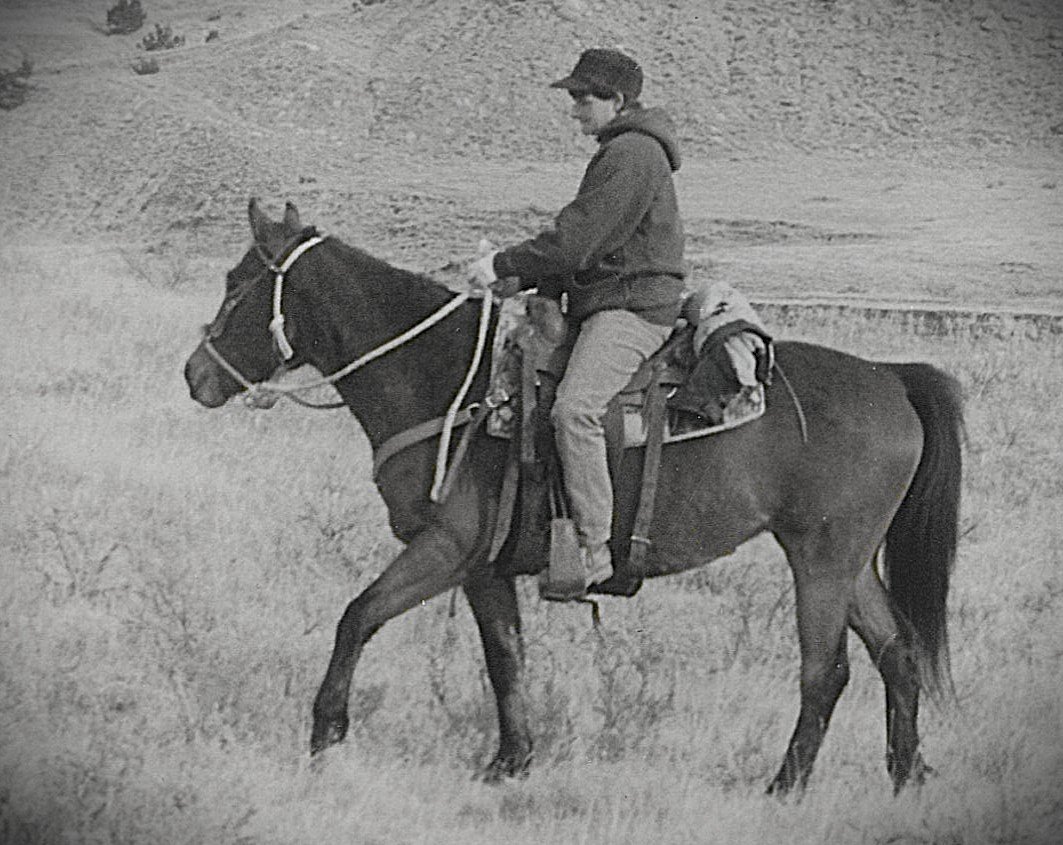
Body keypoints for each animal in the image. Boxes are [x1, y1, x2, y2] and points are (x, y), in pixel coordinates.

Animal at [183, 199, 963, 795]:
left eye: (237, 284)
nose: (195, 374)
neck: (448, 380)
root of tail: (893, 377)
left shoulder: (443, 549)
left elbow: (357, 617)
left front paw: (325, 733)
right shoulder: (484, 568)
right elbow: (505, 657)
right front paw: (510, 761)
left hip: (820, 561)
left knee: (825, 671)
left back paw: (786, 785)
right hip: (849, 561)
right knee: (897, 653)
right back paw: (905, 774)